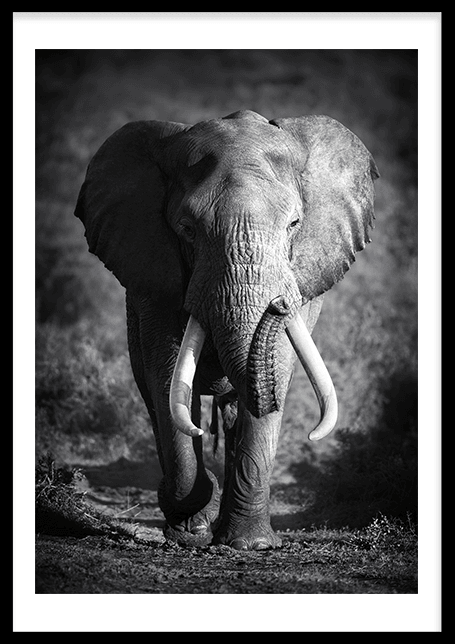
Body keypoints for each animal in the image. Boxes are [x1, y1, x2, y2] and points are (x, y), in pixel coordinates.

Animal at [75, 109, 379, 550]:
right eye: (187, 229)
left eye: (294, 224)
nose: (278, 304)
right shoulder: (154, 277)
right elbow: (166, 374)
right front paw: (190, 528)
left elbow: (278, 369)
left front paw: (251, 545)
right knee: (154, 396)